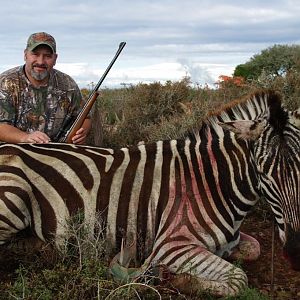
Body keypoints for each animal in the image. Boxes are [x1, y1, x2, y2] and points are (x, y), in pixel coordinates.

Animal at [0, 88, 298, 296]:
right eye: (262, 171)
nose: (294, 252)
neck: (212, 181)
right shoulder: (171, 246)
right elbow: (238, 279)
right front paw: (174, 279)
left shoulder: (232, 240)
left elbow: (253, 248)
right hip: (12, 196)